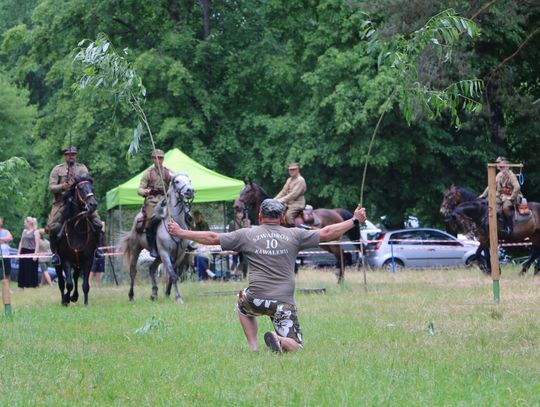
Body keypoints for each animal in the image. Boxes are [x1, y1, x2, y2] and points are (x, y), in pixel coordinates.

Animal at [56, 175, 100, 306]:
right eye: (80, 188)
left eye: (92, 188)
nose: (93, 204)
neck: (77, 229)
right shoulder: (65, 260)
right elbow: (68, 284)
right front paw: (66, 299)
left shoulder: (88, 260)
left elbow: (85, 285)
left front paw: (85, 303)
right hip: (58, 264)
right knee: (61, 282)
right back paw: (63, 299)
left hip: (78, 263)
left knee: (75, 277)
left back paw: (74, 296)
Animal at [121, 174, 195, 304]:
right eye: (177, 181)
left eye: (189, 180)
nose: (189, 190)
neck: (173, 223)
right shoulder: (165, 253)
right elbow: (173, 275)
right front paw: (178, 298)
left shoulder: (179, 255)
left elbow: (172, 275)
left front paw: (167, 294)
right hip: (136, 250)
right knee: (133, 271)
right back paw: (131, 296)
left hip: (158, 256)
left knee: (151, 268)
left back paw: (154, 294)